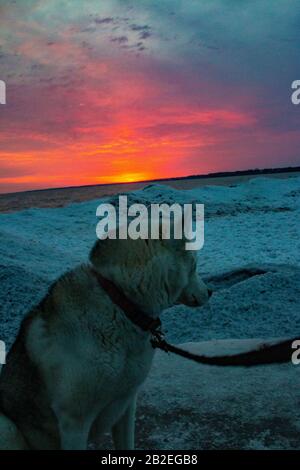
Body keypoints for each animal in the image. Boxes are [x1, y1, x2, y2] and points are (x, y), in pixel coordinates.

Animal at [0, 237, 211, 450]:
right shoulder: (74, 422)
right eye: (195, 265)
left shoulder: (126, 404)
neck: (120, 304)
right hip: (7, 427)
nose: (211, 291)